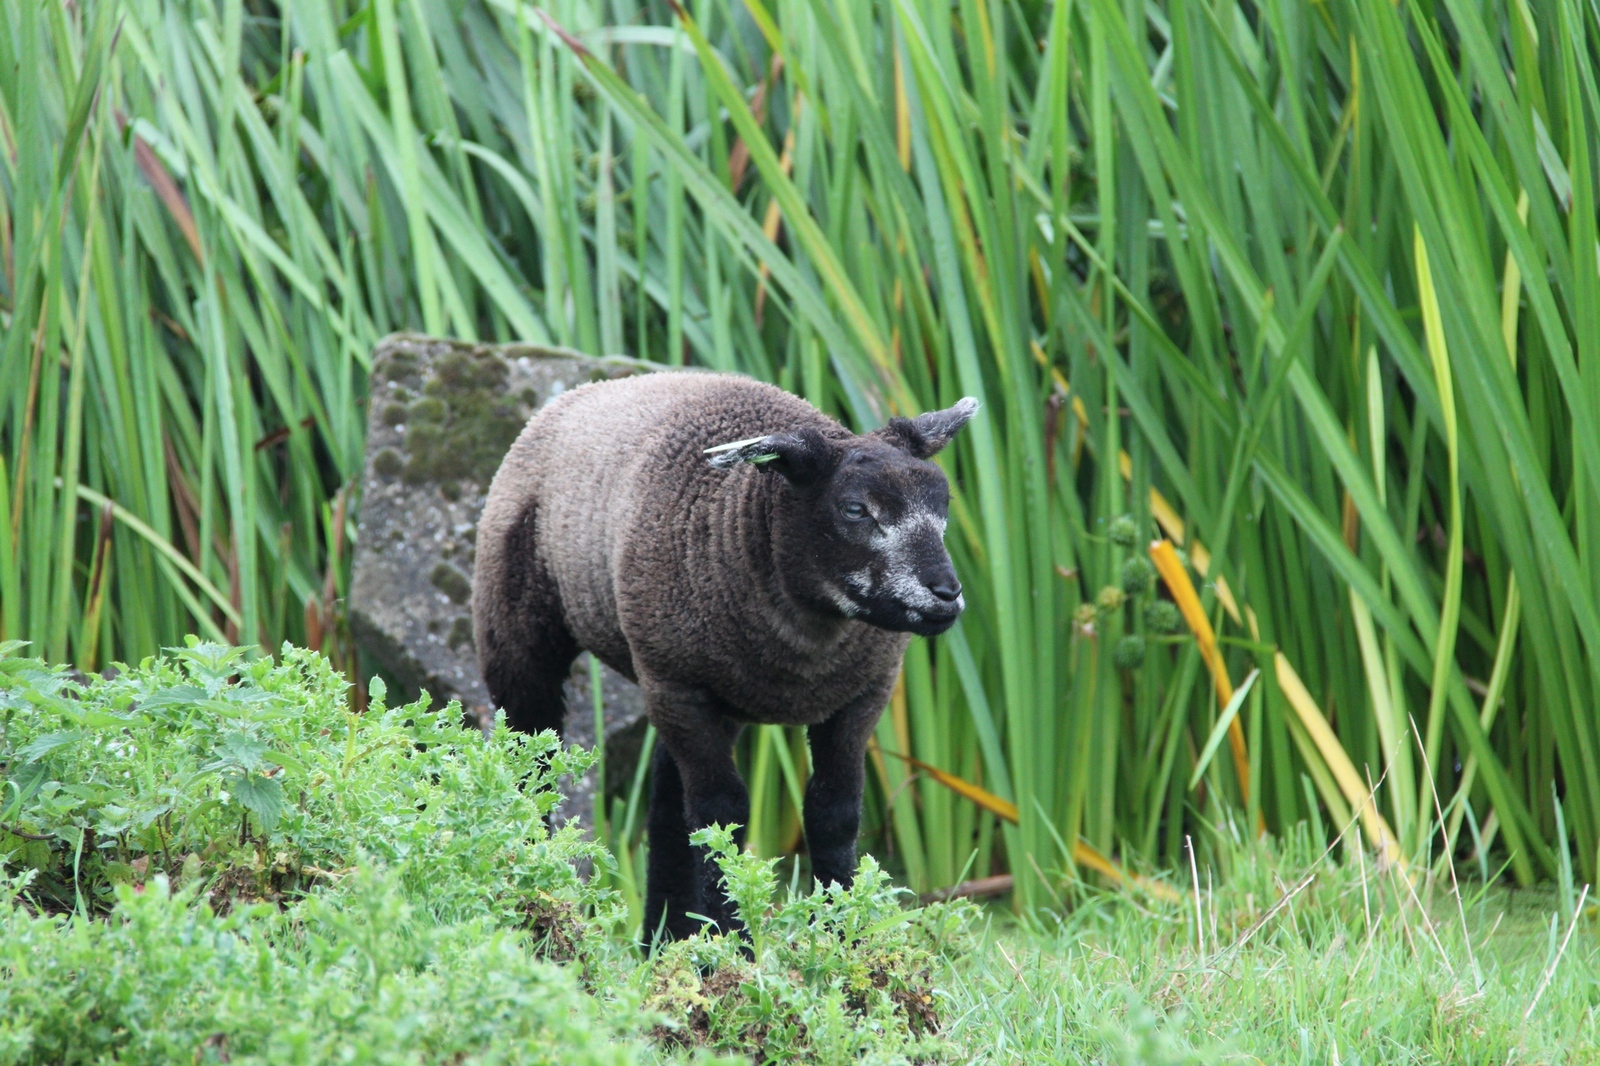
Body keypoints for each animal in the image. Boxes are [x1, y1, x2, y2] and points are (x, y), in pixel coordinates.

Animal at [470, 371, 972, 941]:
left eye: (944, 504)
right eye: (854, 509)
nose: (946, 594)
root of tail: (586, 391)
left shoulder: (864, 694)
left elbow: (834, 811)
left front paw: (841, 937)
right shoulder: (679, 687)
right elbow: (721, 816)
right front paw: (735, 943)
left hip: (699, 688)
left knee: (666, 808)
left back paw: (664, 938)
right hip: (522, 637)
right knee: (531, 772)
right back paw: (535, 890)